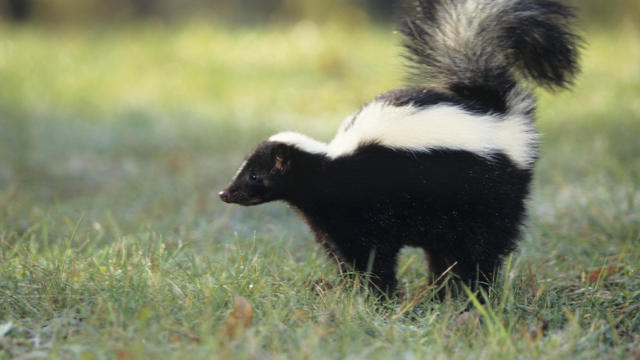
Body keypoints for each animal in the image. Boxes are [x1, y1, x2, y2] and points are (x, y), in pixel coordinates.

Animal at [219, 0, 580, 296]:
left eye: (254, 175)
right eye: (244, 171)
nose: (225, 193)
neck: (328, 167)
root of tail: (495, 112)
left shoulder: (366, 210)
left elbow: (372, 256)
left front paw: (378, 296)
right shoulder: (332, 223)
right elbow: (344, 256)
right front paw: (352, 293)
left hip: (489, 196)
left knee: (480, 249)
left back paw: (473, 293)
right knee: (446, 253)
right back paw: (442, 292)